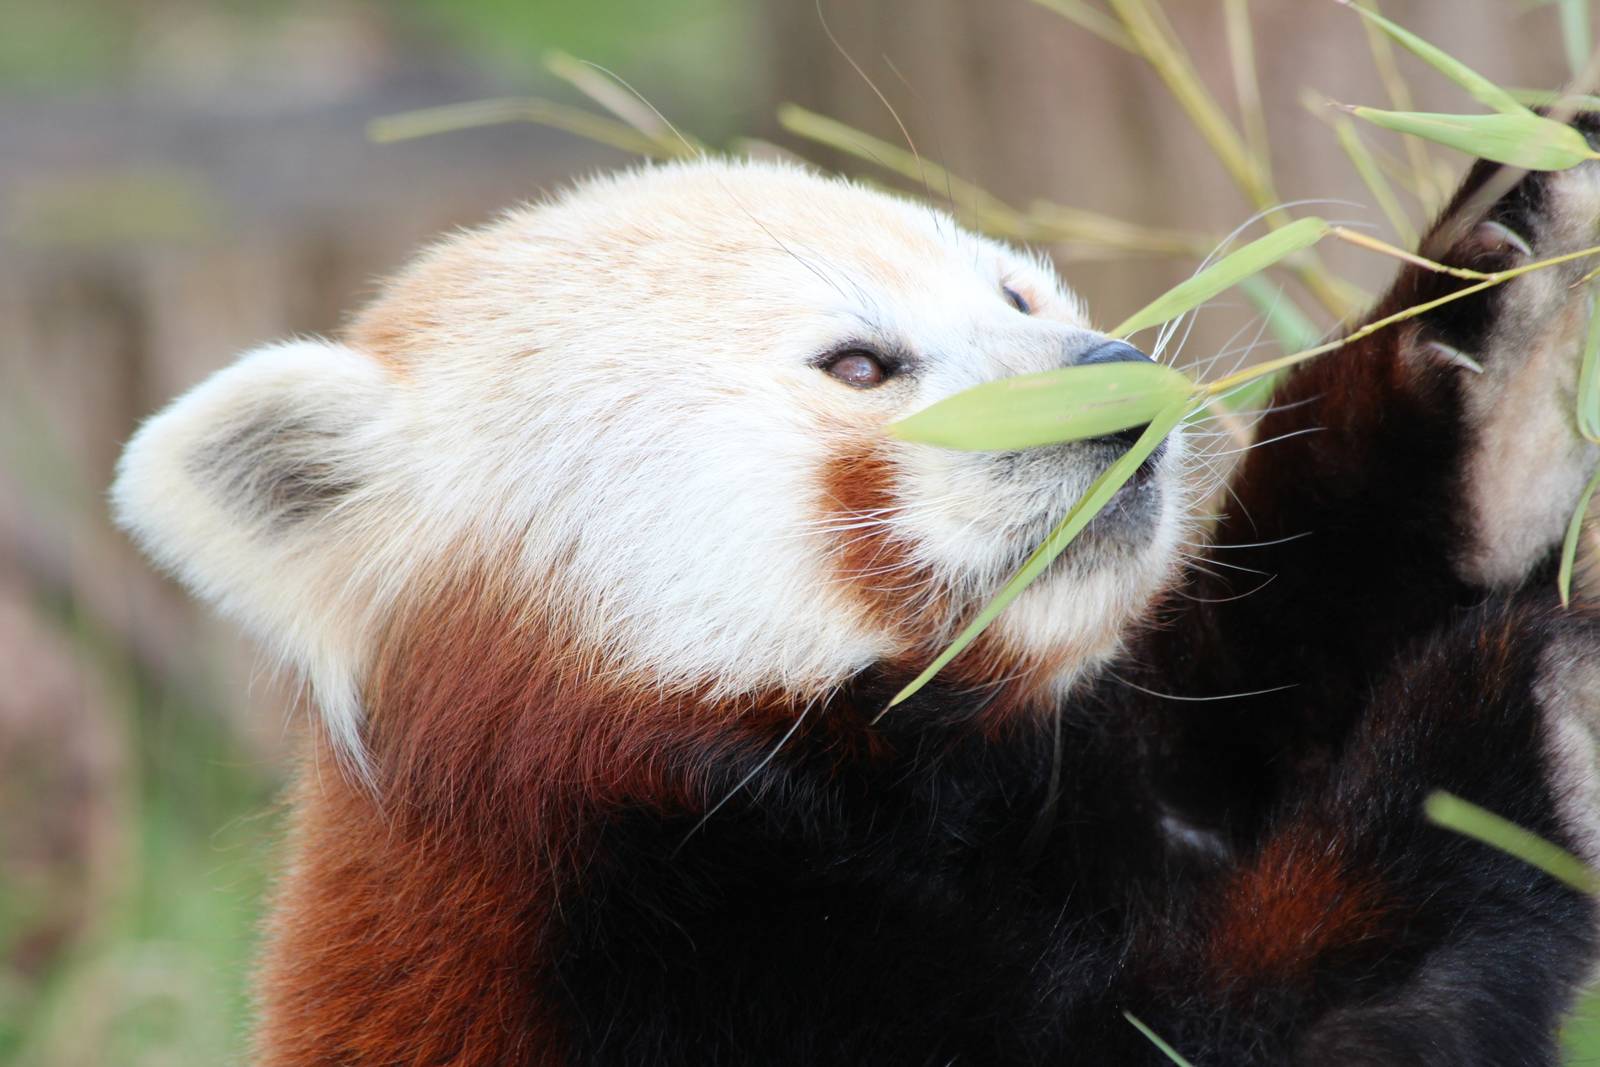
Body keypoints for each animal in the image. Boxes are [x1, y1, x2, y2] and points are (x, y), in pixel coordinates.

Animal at [114, 121, 1600, 1064]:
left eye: (1016, 293)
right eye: (861, 365)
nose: (1120, 386)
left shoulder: (1079, 789)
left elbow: (1245, 699)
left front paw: (1497, 355)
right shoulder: (650, 949)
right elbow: (1238, 1027)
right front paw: (1519, 721)